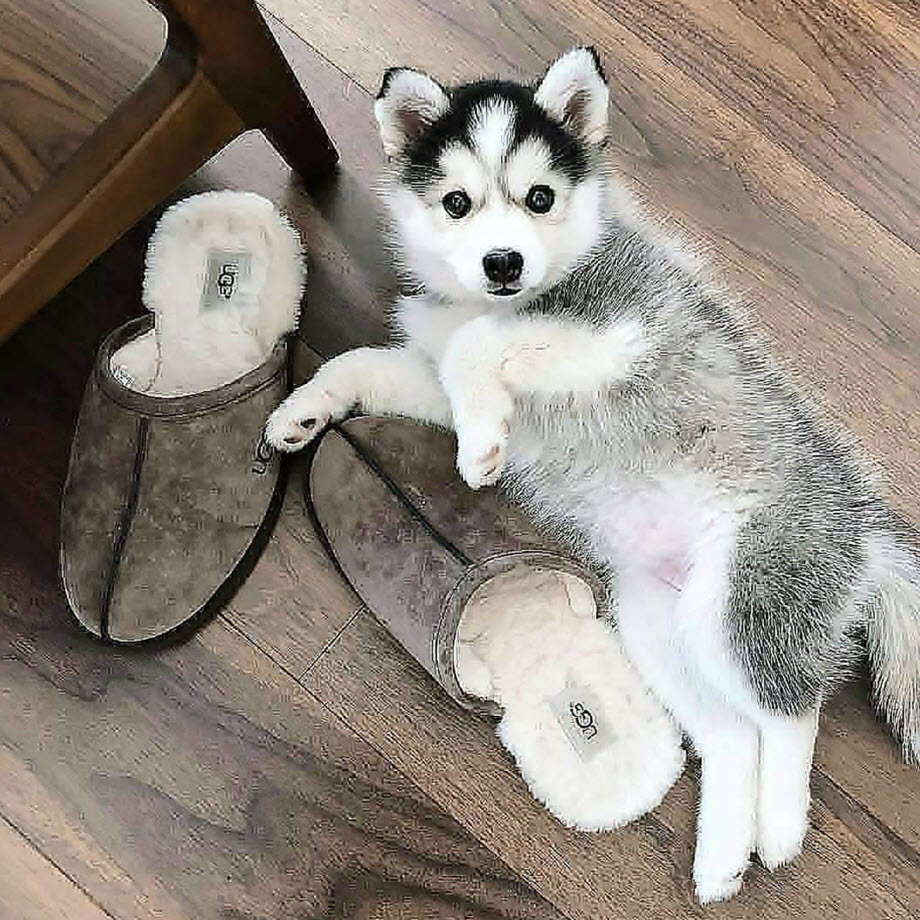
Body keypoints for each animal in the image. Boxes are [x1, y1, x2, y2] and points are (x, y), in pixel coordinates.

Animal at [266, 46, 920, 904]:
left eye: (540, 197)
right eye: (457, 203)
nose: (503, 263)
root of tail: (866, 523)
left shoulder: (618, 329)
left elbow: (482, 342)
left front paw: (480, 445)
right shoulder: (437, 368)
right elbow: (369, 364)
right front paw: (303, 413)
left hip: (749, 590)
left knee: (790, 711)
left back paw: (779, 829)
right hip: (659, 621)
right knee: (732, 734)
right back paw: (721, 857)